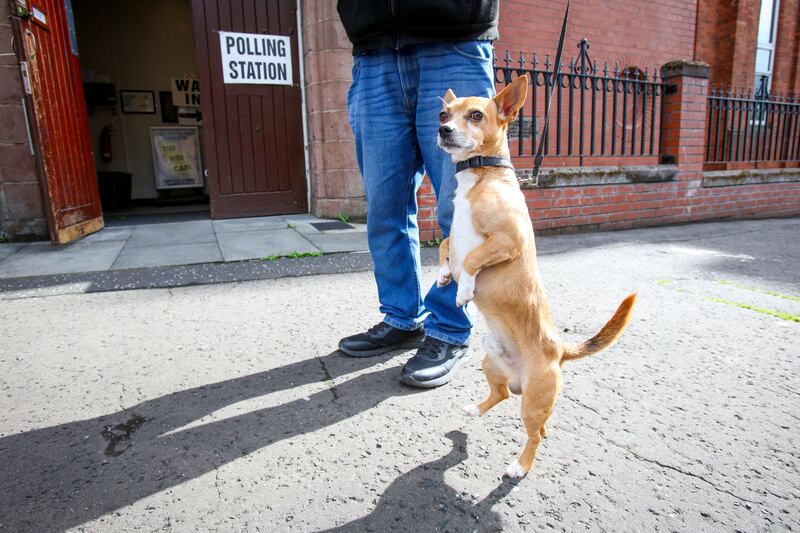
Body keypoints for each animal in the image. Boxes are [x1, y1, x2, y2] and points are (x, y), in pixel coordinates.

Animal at [434, 74, 636, 478]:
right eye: (444, 113)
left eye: (476, 115)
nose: (442, 129)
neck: (481, 175)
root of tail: (560, 350)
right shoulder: (454, 234)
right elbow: (446, 244)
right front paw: (444, 274)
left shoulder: (506, 241)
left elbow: (472, 258)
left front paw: (463, 289)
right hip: (490, 362)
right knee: (500, 395)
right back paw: (475, 409)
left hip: (534, 402)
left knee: (536, 434)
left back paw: (520, 466)